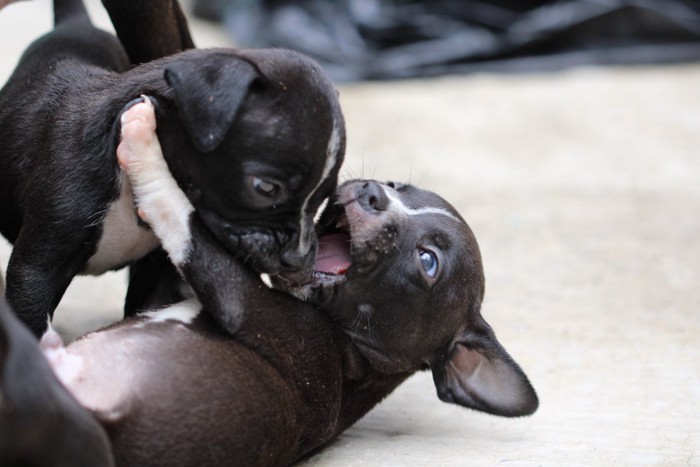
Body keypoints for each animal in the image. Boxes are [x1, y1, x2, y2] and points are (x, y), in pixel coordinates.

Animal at [0, 0, 344, 336]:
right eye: (266, 188)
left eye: (325, 198)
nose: (297, 258)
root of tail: (73, 22)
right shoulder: (36, 271)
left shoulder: (156, 272)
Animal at [35, 100, 540, 466]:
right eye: (398, 185)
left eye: (428, 261)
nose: (372, 192)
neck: (350, 348)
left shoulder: (241, 301)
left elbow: (181, 218)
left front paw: (144, 143)